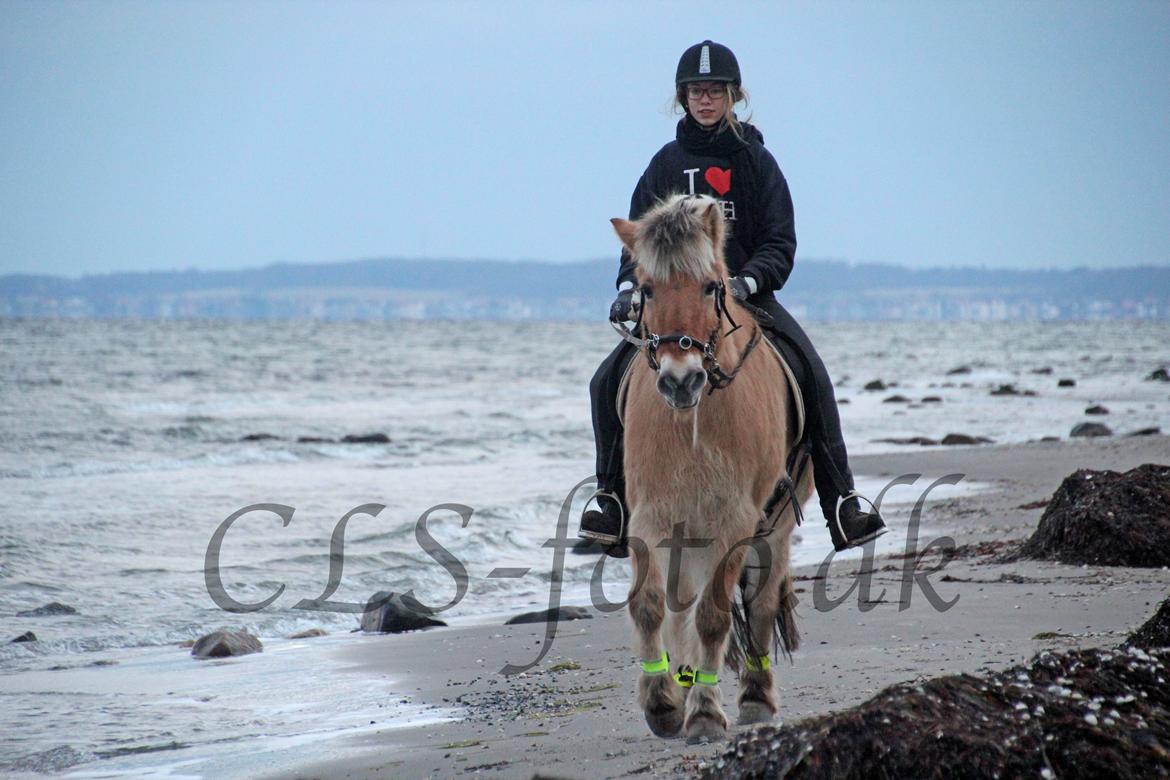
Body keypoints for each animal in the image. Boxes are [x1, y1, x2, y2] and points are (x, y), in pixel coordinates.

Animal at [608, 191, 809, 743]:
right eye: (646, 290)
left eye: (712, 286)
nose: (681, 381)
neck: (693, 422)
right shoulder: (651, 514)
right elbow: (649, 603)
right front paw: (662, 701)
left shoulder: (734, 521)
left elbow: (716, 615)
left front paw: (704, 712)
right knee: (679, 601)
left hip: (776, 524)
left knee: (759, 604)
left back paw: (755, 697)